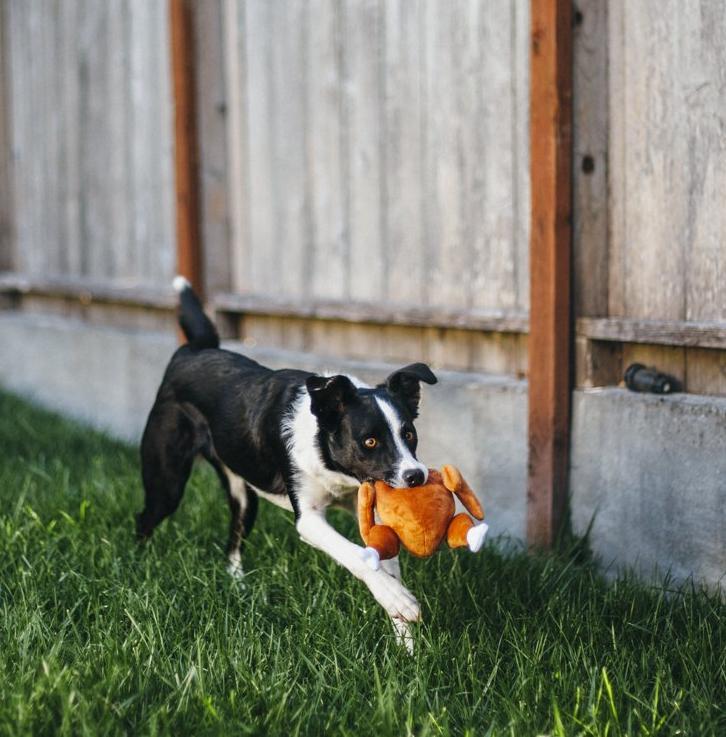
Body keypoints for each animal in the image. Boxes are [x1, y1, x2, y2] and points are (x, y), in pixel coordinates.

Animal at [139, 278, 438, 648]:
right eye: (369, 441)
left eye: (409, 433)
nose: (416, 476)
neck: (336, 469)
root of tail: (194, 350)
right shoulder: (308, 519)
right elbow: (355, 554)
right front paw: (398, 601)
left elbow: (385, 562)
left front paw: (405, 640)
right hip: (166, 483)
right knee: (144, 520)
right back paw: (138, 568)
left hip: (243, 497)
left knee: (232, 546)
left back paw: (240, 588)